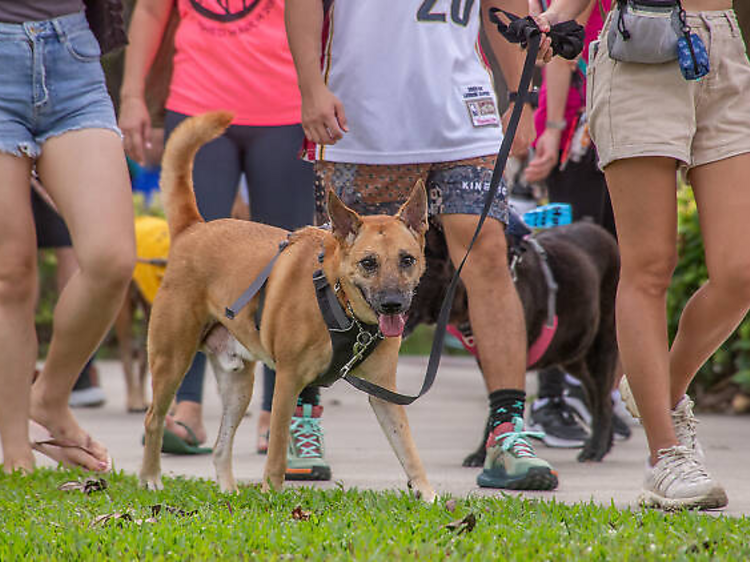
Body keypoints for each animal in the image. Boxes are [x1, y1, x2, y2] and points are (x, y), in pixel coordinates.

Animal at [141, 110, 438, 498]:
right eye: (368, 263)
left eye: (407, 260)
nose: (393, 305)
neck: (340, 302)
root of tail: (194, 228)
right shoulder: (287, 382)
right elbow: (278, 448)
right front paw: (271, 494)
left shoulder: (385, 394)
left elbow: (409, 450)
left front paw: (428, 495)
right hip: (172, 360)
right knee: (153, 420)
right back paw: (151, 478)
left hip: (238, 386)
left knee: (220, 446)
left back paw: (229, 491)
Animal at [408, 218, 620, 460]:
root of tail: (597, 228)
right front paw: (484, 452)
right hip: (574, 356)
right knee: (597, 395)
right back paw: (605, 442)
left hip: (601, 347)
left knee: (602, 400)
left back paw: (596, 448)